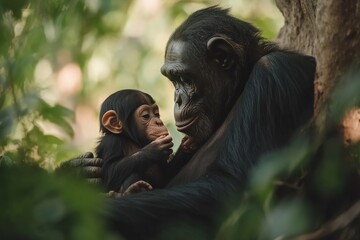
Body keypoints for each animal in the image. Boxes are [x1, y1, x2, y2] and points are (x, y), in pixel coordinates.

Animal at [64, 6, 316, 239]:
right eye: (173, 79)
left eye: (183, 78)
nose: (177, 99)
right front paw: (79, 172)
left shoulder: (272, 72)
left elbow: (230, 184)